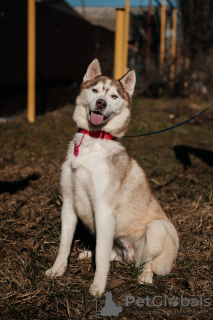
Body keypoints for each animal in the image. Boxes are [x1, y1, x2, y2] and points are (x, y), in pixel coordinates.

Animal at [45, 58, 179, 296]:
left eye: (114, 96)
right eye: (95, 90)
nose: (101, 103)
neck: (93, 141)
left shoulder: (103, 209)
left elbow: (101, 256)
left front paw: (98, 287)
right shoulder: (68, 203)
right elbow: (64, 244)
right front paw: (58, 270)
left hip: (158, 229)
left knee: (146, 263)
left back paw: (145, 276)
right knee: (114, 254)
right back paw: (89, 254)